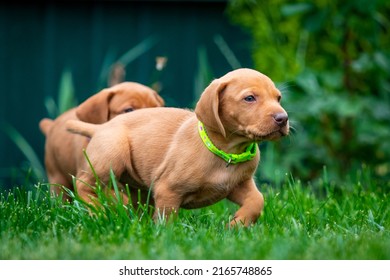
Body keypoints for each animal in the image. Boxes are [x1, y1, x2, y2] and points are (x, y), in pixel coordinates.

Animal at [65, 69, 288, 226]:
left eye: (278, 98)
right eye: (249, 98)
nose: (283, 118)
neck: (227, 152)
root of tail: (100, 127)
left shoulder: (237, 184)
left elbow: (257, 200)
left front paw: (237, 224)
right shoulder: (167, 190)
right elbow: (167, 219)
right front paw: (165, 237)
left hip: (137, 186)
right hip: (112, 152)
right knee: (83, 184)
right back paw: (98, 210)